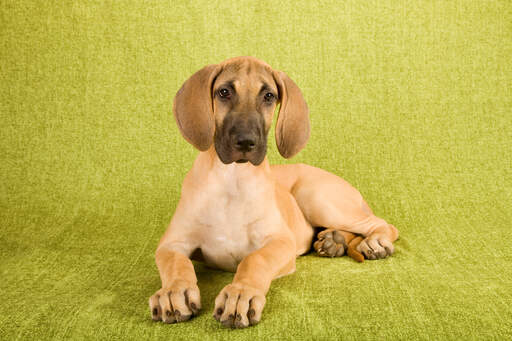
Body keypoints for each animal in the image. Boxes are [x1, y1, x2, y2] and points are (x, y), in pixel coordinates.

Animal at [149, 55, 400, 326]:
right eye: (224, 92)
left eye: (269, 96)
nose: (246, 142)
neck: (232, 179)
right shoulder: (172, 242)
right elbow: (176, 262)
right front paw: (174, 291)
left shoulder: (280, 241)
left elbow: (255, 259)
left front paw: (241, 293)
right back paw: (335, 241)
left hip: (315, 196)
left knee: (382, 224)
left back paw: (374, 241)